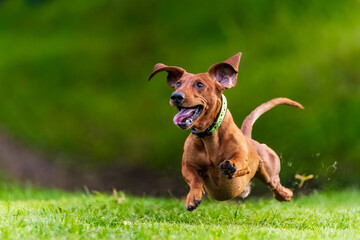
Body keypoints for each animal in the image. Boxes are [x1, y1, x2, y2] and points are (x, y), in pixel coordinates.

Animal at [148, 52, 302, 210]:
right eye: (178, 84)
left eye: (199, 84)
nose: (176, 96)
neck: (209, 138)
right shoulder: (188, 166)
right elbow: (194, 178)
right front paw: (193, 197)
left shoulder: (243, 161)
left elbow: (238, 163)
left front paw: (230, 167)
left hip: (269, 173)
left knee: (278, 188)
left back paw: (286, 194)